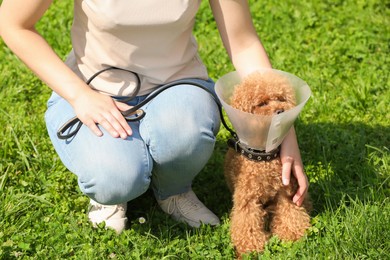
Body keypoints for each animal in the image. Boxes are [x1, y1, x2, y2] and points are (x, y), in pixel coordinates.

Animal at [224, 71, 312, 258]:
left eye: (280, 98)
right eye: (262, 103)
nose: (281, 111)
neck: (263, 157)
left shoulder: (285, 191)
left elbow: (290, 212)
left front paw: (292, 234)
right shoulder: (247, 199)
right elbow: (247, 224)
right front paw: (250, 249)